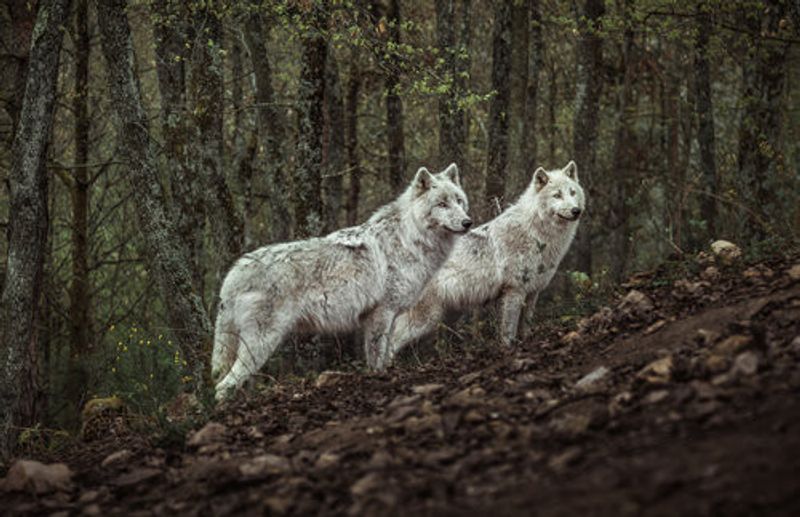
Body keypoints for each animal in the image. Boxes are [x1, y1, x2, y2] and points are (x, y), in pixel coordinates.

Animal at [211, 163, 471, 400]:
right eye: (442, 204)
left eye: (459, 201)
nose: (467, 222)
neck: (410, 239)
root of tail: (233, 273)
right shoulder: (381, 314)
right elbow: (377, 358)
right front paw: (379, 379)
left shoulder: (390, 316)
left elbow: (386, 354)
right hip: (262, 343)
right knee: (223, 386)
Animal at [387, 160, 585, 363]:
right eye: (557, 195)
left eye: (572, 193)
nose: (576, 210)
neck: (537, 235)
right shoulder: (514, 291)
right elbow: (508, 332)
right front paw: (508, 351)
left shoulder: (532, 292)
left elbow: (526, 327)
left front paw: (527, 343)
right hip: (424, 320)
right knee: (392, 343)